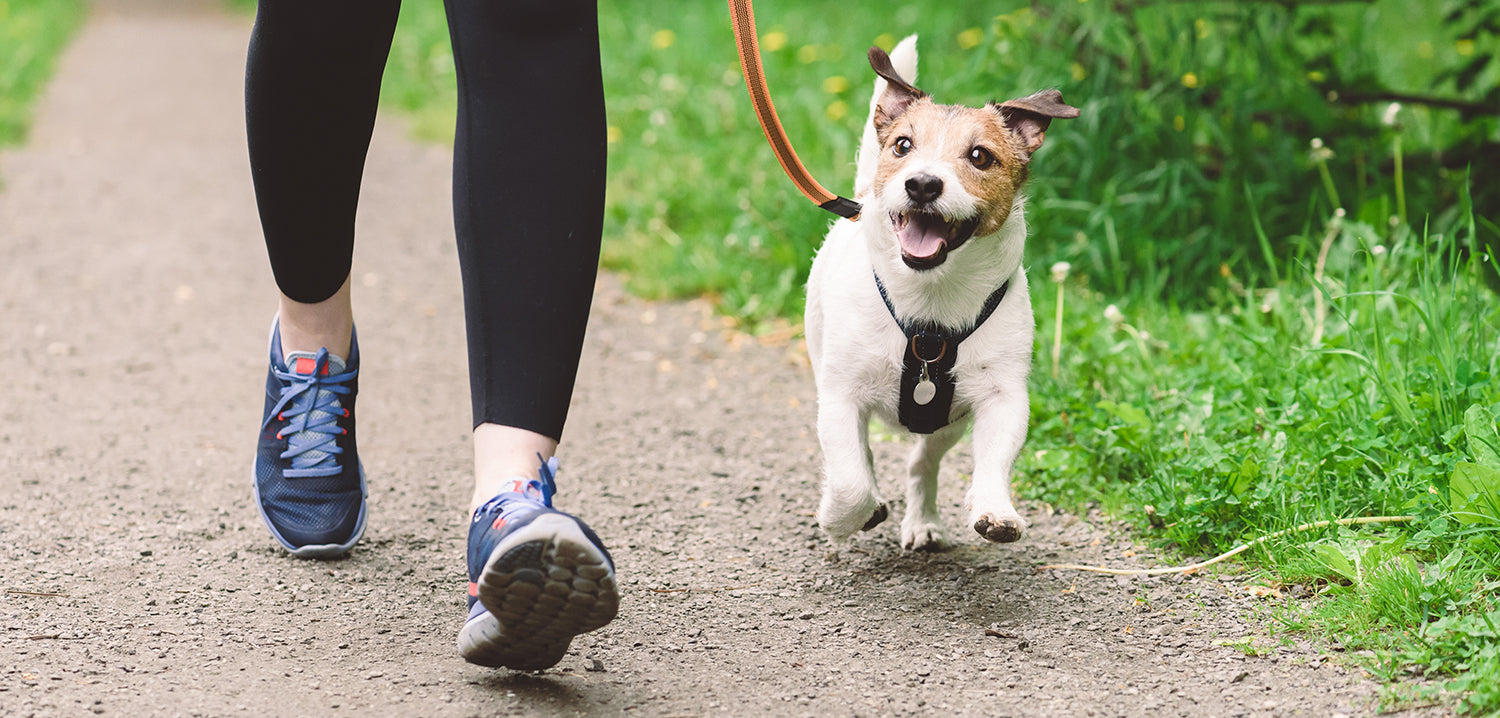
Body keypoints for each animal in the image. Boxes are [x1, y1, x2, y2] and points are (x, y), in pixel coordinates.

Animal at [810, 35, 1080, 551]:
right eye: (903, 146)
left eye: (980, 156)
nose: (921, 183)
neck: (930, 305)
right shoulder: (840, 396)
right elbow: (851, 479)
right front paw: (840, 517)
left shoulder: (1002, 396)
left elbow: (994, 459)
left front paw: (996, 509)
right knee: (862, 458)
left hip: (945, 424)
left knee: (922, 462)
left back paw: (923, 521)